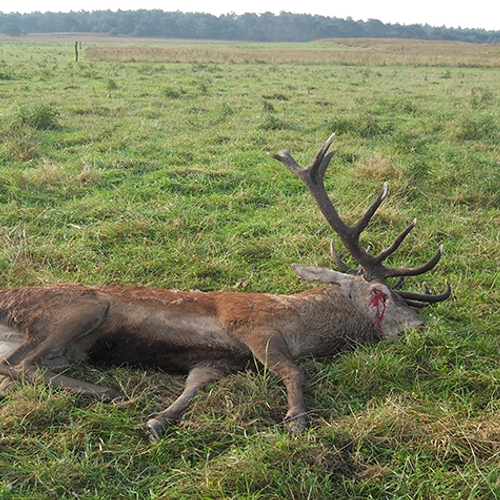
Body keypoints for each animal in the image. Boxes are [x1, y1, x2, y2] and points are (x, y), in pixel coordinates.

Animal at [0, 134, 450, 442]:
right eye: (381, 295)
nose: (420, 326)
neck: (301, 324)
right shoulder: (253, 326)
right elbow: (294, 370)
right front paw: (297, 420)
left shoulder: (218, 360)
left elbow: (194, 385)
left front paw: (158, 420)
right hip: (79, 308)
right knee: (21, 364)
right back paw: (108, 390)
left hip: (68, 346)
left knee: (23, 369)